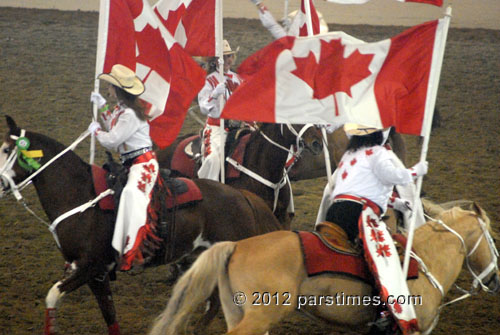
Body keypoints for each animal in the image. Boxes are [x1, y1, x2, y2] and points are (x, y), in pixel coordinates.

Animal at [0, 116, 282, 335]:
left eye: (5, 150)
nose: (0, 183)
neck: (81, 197)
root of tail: (243, 198)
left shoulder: (90, 266)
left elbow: (52, 296)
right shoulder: (97, 274)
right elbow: (109, 316)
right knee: (215, 302)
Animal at [149, 202, 500, 335]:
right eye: (493, 239)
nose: (495, 278)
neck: (425, 259)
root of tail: (236, 245)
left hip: (237, 311)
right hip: (258, 315)